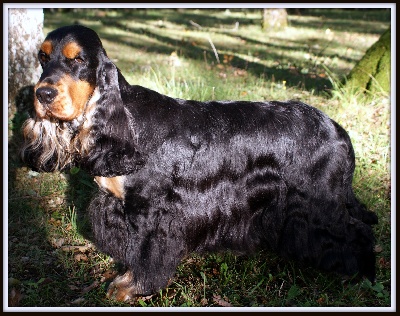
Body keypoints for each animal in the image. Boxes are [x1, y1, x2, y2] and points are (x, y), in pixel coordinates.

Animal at [21, 24, 378, 302]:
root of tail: (338, 130)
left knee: (355, 229)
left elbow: (144, 256)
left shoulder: (151, 212)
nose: (42, 94)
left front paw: (130, 287)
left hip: (320, 200)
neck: (124, 122)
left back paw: (360, 274)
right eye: (42, 58)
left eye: (78, 59)